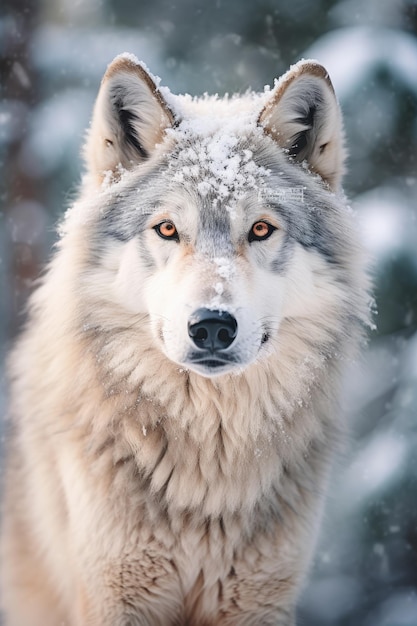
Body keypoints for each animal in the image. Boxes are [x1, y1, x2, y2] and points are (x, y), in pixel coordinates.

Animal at [1, 54, 368, 624]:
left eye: (260, 230)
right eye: (168, 229)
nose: (212, 325)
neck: (208, 467)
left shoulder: (259, 602)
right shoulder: (114, 596)